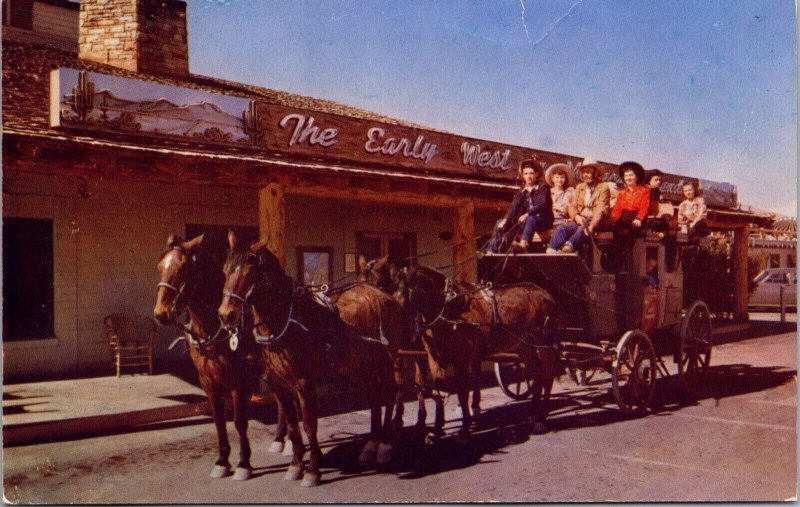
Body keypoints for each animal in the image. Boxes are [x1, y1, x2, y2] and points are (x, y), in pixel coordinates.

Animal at [153, 234, 290, 480]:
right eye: (160, 266)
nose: (161, 313)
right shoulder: (208, 383)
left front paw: (244, 463)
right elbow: (219, 421)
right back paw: (279, 440)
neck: (215, 330)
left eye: (184, 267)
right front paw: (222, 461)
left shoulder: (240, 382)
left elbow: (239, 421)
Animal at [217, 233, 400, 488]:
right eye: (225, 270)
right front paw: (295, 465)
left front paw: (313, 469)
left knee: (390, 394)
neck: (287, 319)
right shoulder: (280, 384)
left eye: (250, 272)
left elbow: (309, 423)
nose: (226, 315)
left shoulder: (305, 382)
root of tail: (383, 295)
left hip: (386, 361)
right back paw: (371, 445)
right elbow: (293, 424)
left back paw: (384, 445)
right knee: (374, 396)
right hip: (364, 363)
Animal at [404, 266, 560, 436]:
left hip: (545, 344)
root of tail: (546, 294)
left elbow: (462, 392)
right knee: (537, 372)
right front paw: (437, 430)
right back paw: (533, 414)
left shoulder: (462, 359)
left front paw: (465, 427)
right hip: (524, 345)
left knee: (548, 375)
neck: (451, 309)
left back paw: (541, 418)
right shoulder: (435, 358)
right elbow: (438, 393)